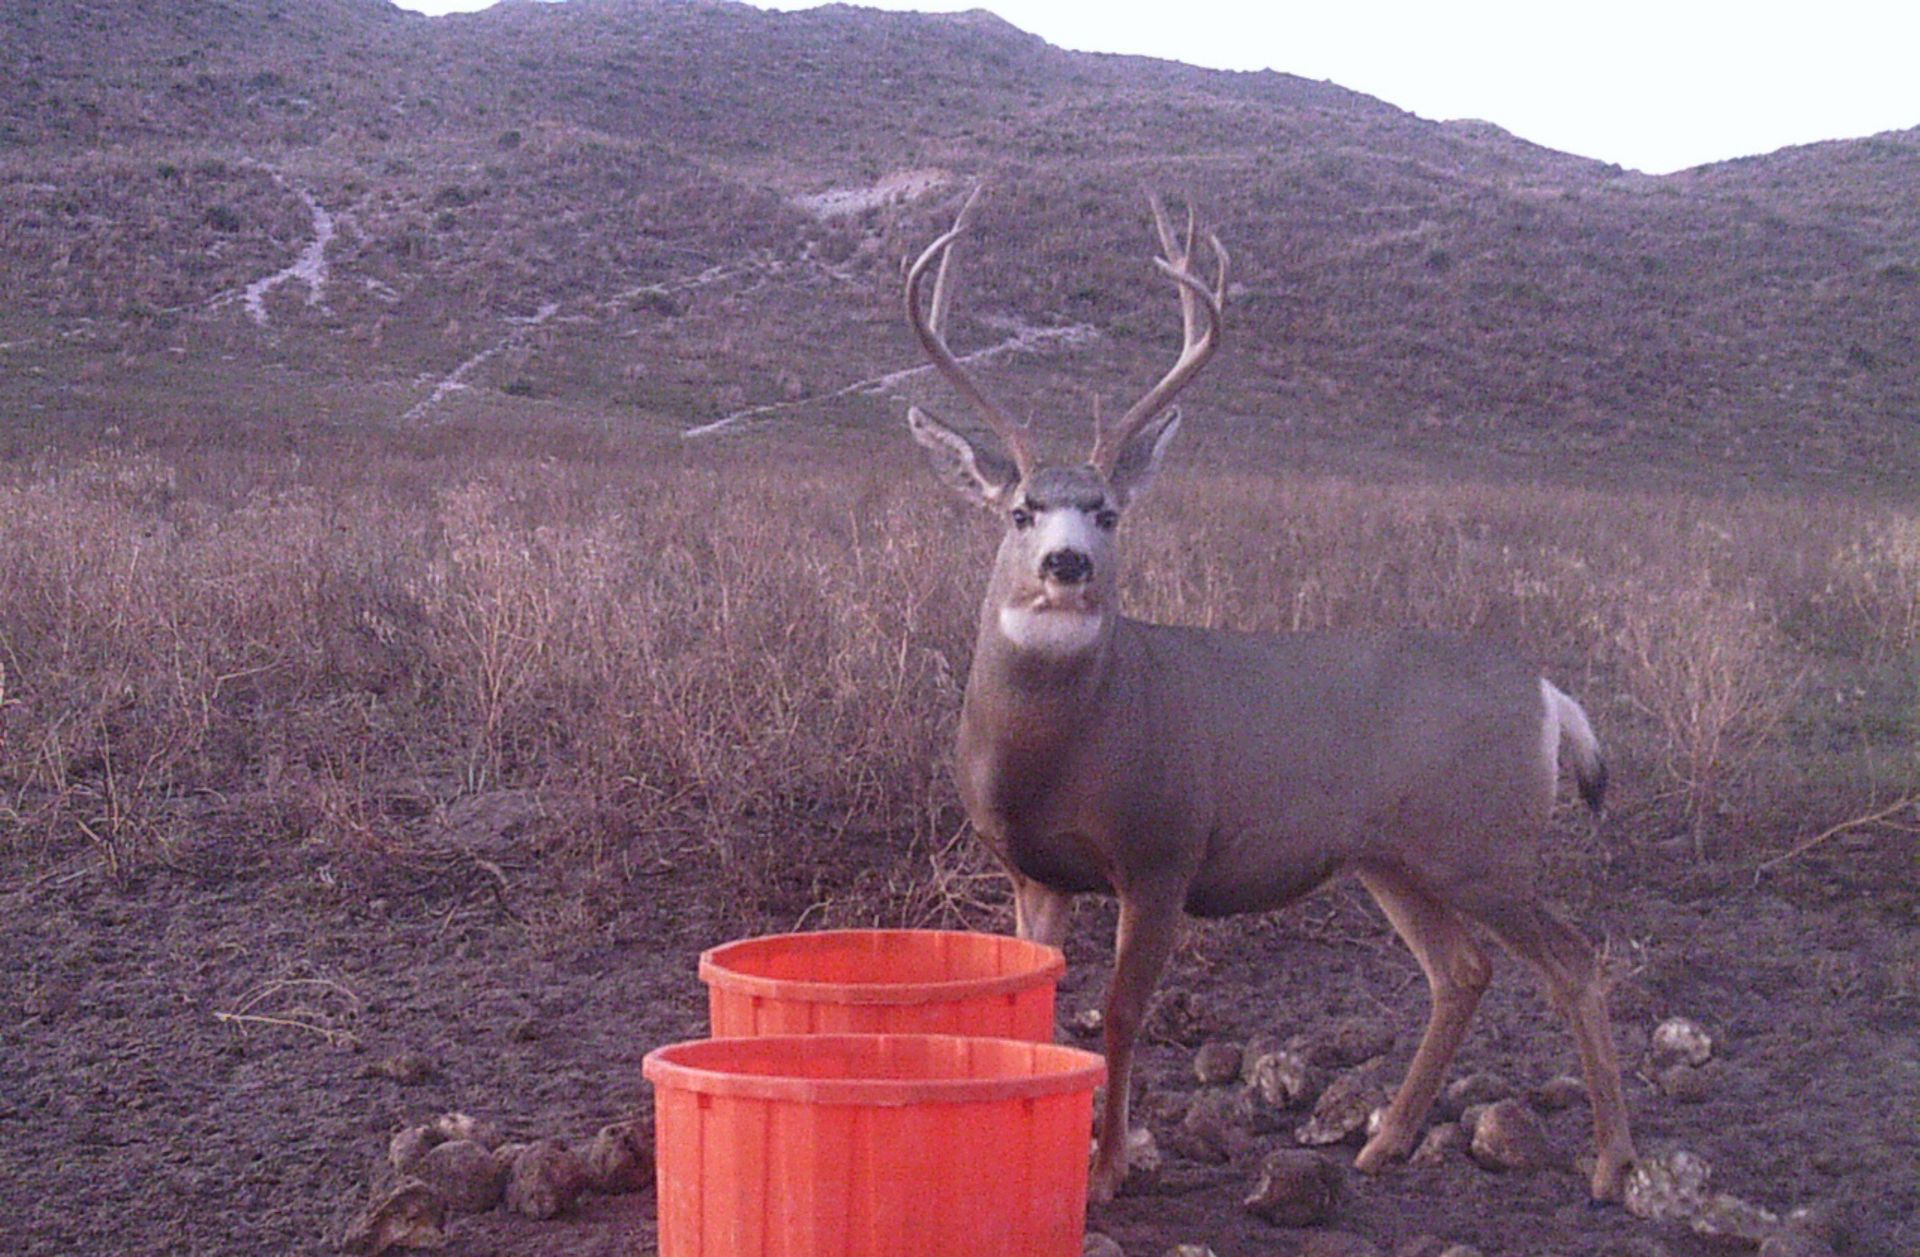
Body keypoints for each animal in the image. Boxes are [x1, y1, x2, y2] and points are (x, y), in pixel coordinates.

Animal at [900, 190, 1638, 1205]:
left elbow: (1121, 1014)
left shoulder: (1164, 849)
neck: (1063, 752)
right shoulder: (1034, 871)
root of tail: (1548, 694)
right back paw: (1383, 1141)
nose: (1067, 563)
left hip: (1484, 844)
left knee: (1575, 958)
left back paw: (1611, 1163)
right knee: (1463, 969)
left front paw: (1109, 1168)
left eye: (1109, 511)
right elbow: (1036, 1017)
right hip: (1394, 857)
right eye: (1019, 510)